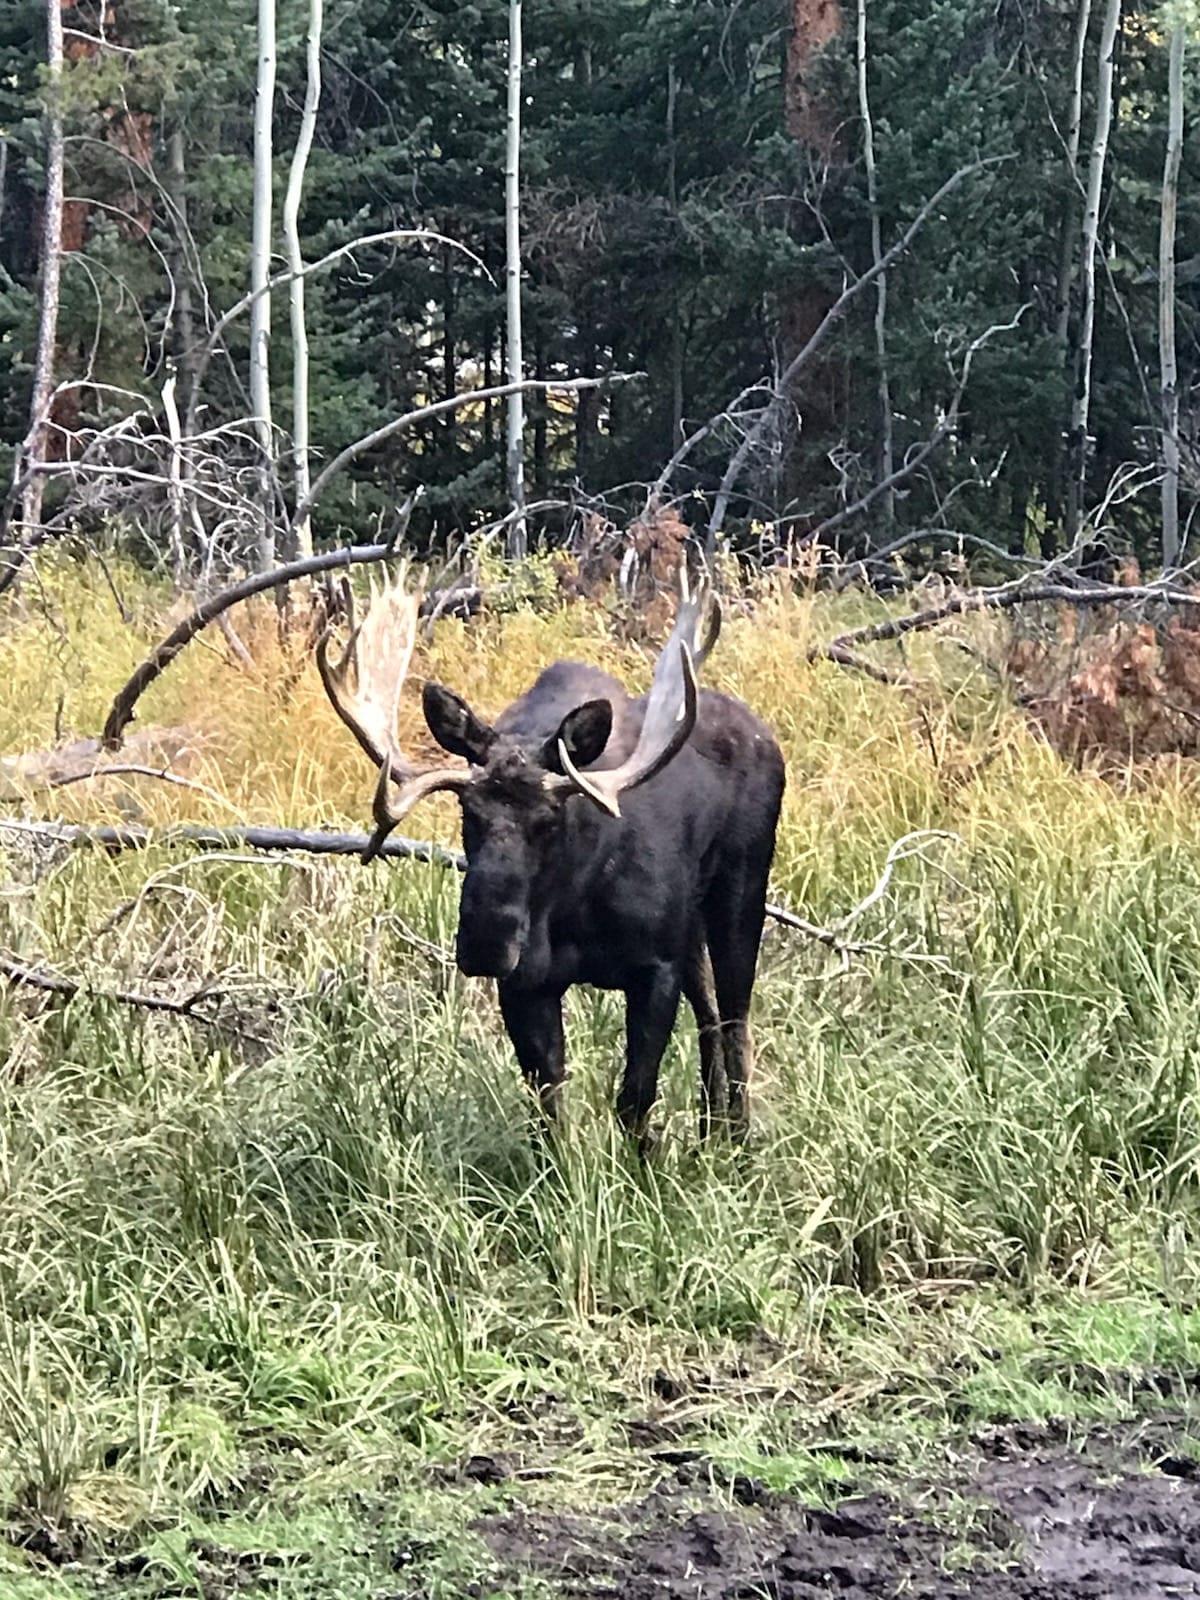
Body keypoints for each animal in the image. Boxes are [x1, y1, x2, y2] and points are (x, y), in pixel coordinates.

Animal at [316, 566, 784, 1146]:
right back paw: (710, 1131)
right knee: (711, 1016)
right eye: (467, 813)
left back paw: (739, 1139)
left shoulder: (656, 968)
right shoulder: (527, 983)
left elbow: (634, 1099)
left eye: (549, 821)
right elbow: (549, 1110)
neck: (573, 907)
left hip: (742, 891)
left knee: (736, 1016)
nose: (486, 941)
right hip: (692, 927)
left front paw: (644, 1162)